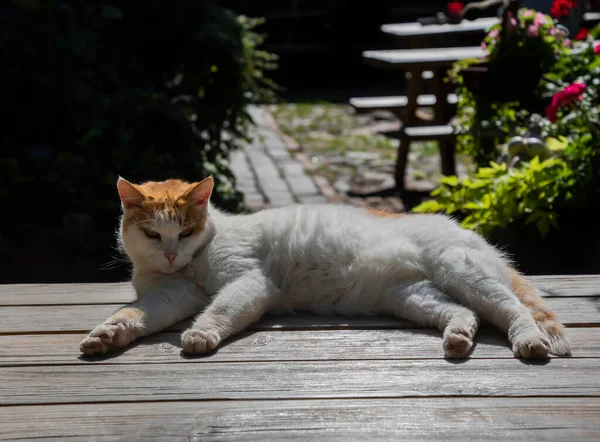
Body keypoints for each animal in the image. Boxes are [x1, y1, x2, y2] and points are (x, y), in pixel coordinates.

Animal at [79, 176, 572, 360]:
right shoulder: (170, 295)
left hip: (463, 273)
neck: (190, 266)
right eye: (152, 235)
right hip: (414, 296)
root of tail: (473, 234)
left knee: (514, 310)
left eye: (184, 232)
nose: (169, 255)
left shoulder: (250, 281)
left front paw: (200, 335)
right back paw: (458, 338)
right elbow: (136, 314)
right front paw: (107, 335)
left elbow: (219, 310)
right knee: (462, 313)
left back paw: (529, 342)